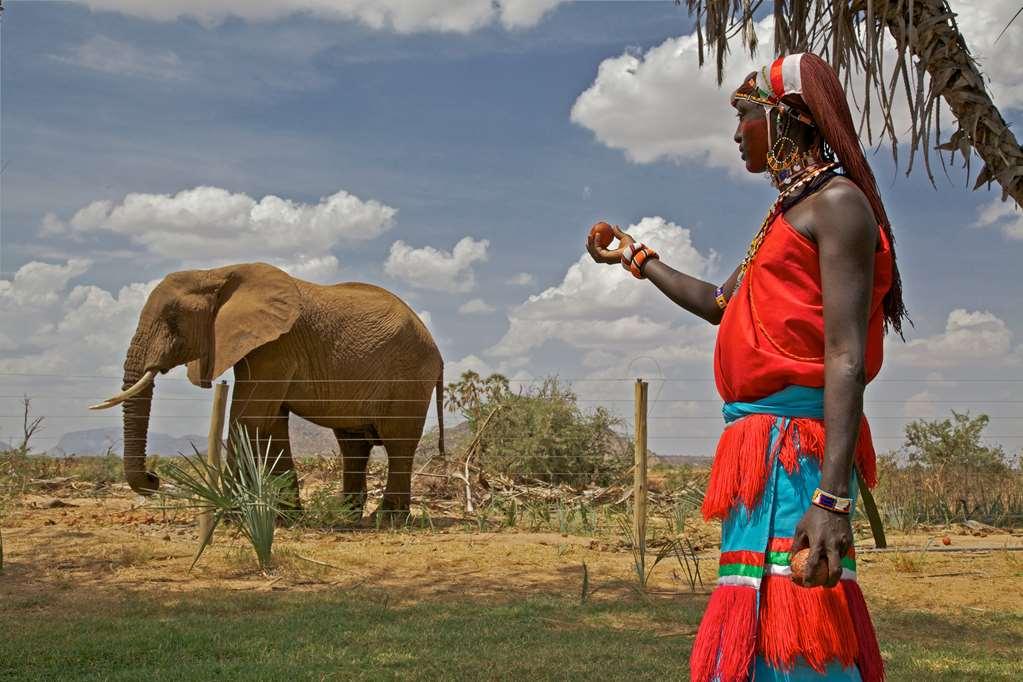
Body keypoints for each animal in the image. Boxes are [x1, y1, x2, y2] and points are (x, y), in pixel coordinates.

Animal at [94, 263, 446, 517]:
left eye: (172, 320)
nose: (154, 478)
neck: (216, 273)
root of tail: (437, 351)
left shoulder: (275, 347)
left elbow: (248, 419)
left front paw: (232, 516)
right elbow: (272, 424)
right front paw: (285, 518)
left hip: (409, 378)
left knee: (398, 443)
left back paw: (386, 519)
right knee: (353, 444)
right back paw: (345, 515)